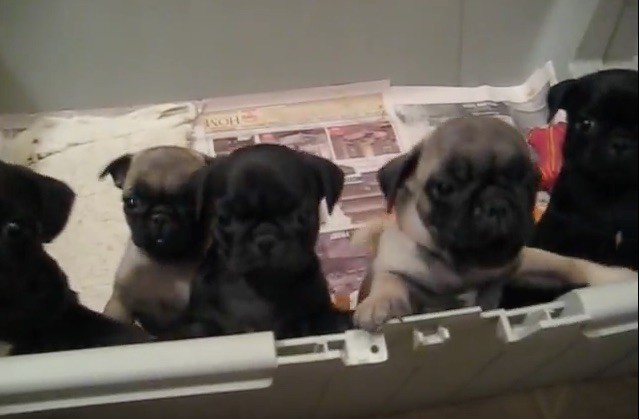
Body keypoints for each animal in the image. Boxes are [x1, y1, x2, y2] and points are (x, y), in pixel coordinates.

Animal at [178, 144, 352, 342]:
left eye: (301, 216)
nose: (265, 238)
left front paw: (341, 322)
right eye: (224, 219)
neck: (262, 286)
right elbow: (201, 328)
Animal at [352, 116, 636, 334]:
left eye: (528, 181)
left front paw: (616, 276)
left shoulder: (522, 263)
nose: (497, 203)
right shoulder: (396, 264)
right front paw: (383, 304)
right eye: (445, 187)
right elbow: (391, 279)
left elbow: (567, 264)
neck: (462, 267)